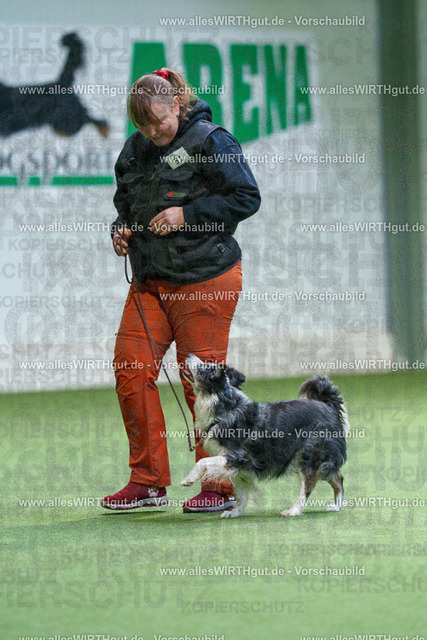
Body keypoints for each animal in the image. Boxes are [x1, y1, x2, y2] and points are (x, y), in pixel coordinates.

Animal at [181, 354, 349, 518]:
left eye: (202, 368)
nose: (189, 354)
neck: (225, 409)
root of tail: (327, 405)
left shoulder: (237, 456)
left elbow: (203, 461)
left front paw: (188, 479)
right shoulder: (239, 466)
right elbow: (241, 493)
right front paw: (235, 512)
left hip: (310, 455)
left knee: (307, 487)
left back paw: (293, 510)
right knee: (338, 478)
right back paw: (336, 506)